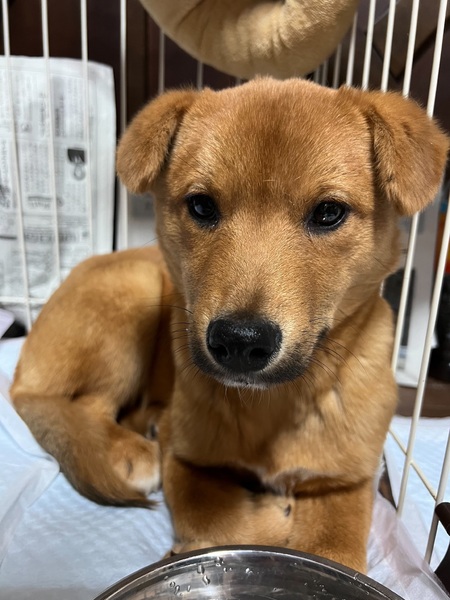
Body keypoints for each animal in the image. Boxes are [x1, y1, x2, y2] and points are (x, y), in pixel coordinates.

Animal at [11, 78, 448, 573]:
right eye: (201, 206)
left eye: (328, 212)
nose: (240, 341)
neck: (274, 405)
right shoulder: (186, 459)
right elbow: (218, 520)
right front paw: (271, 517)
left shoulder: (346, 482)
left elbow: (333, 549)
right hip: (134, 295)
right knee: (76, 404)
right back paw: (125, 450)